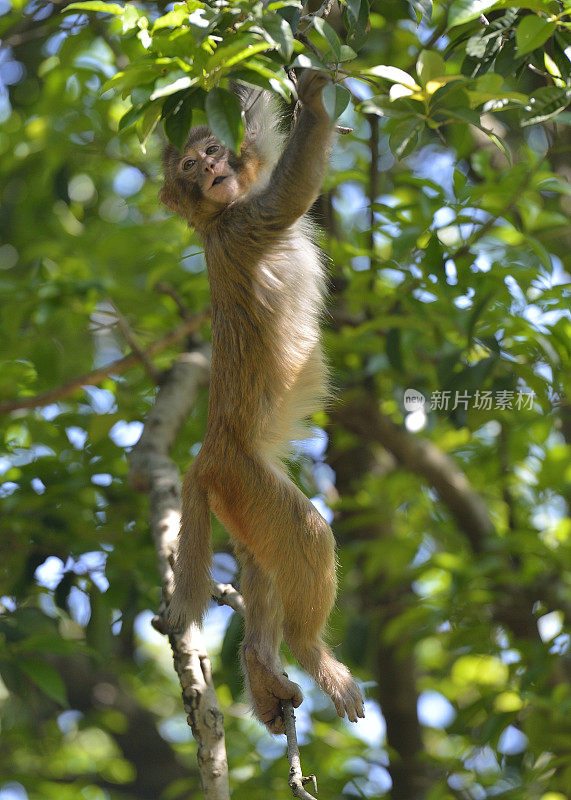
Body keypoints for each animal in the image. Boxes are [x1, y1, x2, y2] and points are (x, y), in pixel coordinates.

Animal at [160, 72, 366, 736]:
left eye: (210, 150)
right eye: (191, 165)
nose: (210, 169)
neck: (217, 217)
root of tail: (205, 455)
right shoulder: (250, 223)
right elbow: (295, 186)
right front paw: (319, 92)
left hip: (240, 499)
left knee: (262, 563)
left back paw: (261, 663)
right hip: (244, 476)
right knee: (307, 537)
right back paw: (308, 651)